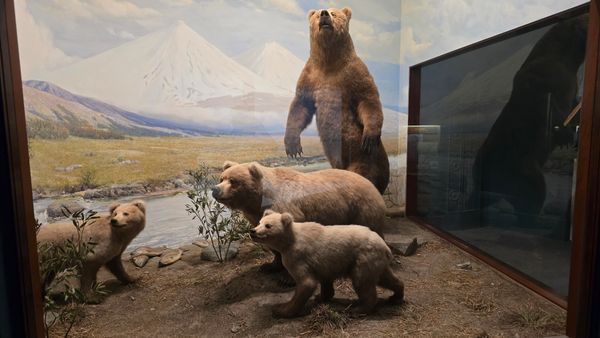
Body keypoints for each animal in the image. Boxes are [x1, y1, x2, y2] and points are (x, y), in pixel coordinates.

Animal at [284, 6, 390, 194]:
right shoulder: (311, 76)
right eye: (317, 14)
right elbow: (300, 106)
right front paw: (293, 147)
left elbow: (368, 99)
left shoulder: (354, 73)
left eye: (334, 13)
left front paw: (369, 137)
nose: (324, 13)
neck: (329, 62)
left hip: (364, 161)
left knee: (364, 177)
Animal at [468, 15, 584, 223]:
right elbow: (545, 102)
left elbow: (572, 107)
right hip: (517, 165)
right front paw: (565, 135)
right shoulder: (539, 80)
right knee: (533, 193)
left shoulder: (569, 88)